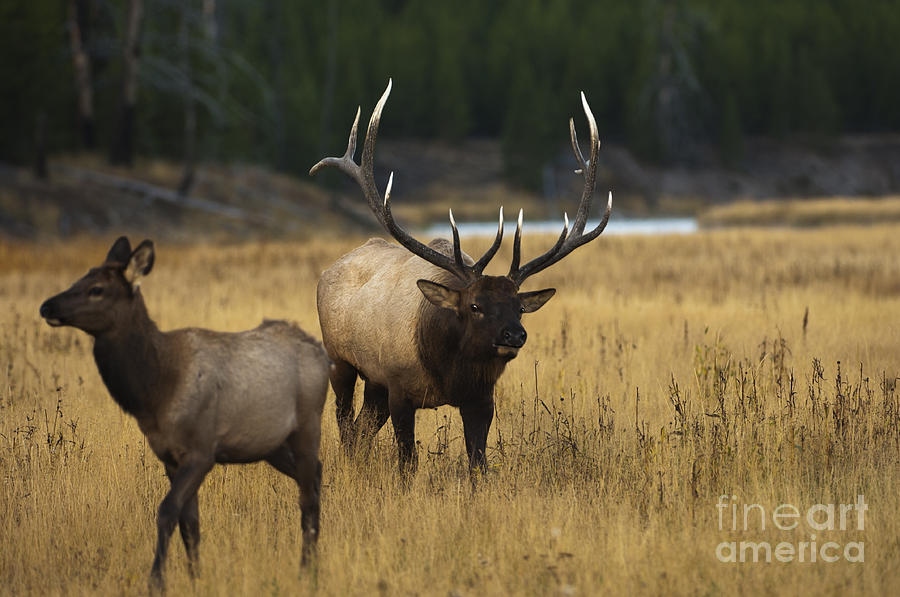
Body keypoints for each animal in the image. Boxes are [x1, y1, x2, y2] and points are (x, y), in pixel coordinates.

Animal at [39, 236, 330, 588]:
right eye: (80, 278)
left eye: (97, 289)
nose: (47, 306)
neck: (155, 393)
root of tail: (321, 353)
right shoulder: (169, 457)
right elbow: (190, 524)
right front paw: (195, 578)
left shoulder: (201, 451)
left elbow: (167, 512)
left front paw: (157, 580)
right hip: (269, 444)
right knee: (315, 475)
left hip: (308, 424)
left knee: (307, 497)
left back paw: (307, 569)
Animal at [312, 81, 612, 478]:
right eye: (474, 305)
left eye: (519, 307)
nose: (514, 335)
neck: (447, 371)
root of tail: (329, 270)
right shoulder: (398, 388)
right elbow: (407, 463)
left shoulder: (480, 398)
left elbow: (478, 463)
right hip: (341, 361)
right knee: (346, 425)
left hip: (374, 382)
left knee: (361, 431)